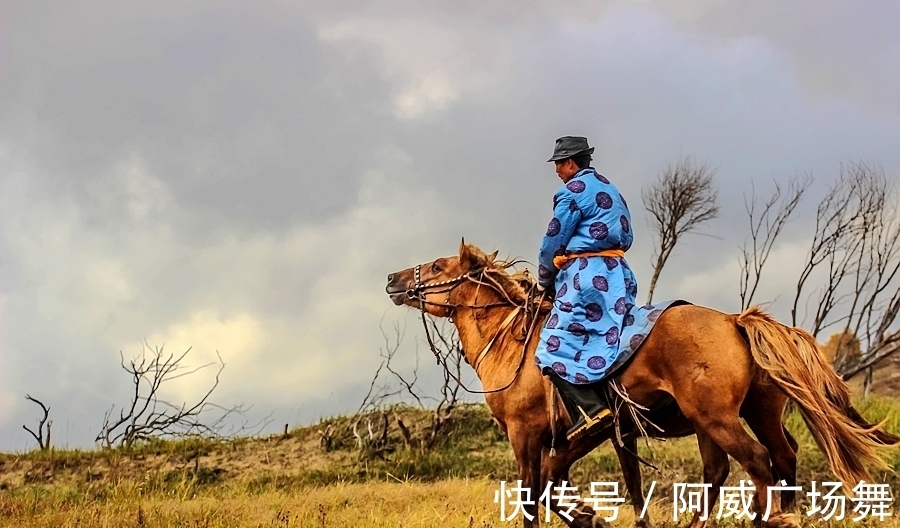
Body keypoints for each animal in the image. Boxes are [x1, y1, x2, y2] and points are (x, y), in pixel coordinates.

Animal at [384, 242, 892, 528]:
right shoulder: (596, 435)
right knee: (763, 461)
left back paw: (769, 520)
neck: (514, 343)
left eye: (436, 266)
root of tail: (734, 320)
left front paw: (587, 516)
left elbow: (534, 492)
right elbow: (581, 483)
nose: (392, 278)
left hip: (717, 419)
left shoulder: (526, 433)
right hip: (750, 413)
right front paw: (590, 516)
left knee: (756, 461)